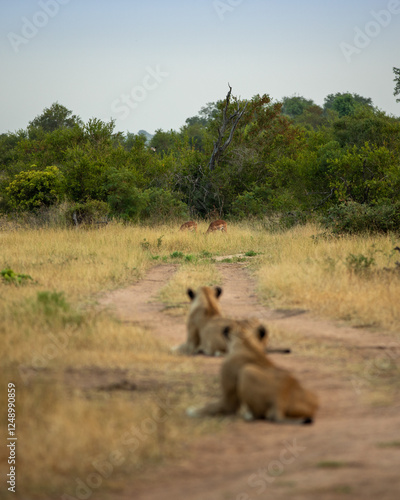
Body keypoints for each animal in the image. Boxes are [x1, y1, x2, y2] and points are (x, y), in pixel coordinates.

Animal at [188, 318, 318, 424]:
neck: (247, 343)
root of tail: (280, 400)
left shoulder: (228, 399)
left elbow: (213, 406)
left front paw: (192, 411)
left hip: (247, 371)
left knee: (259, 415)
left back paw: (248, 416)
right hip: (312, 397)